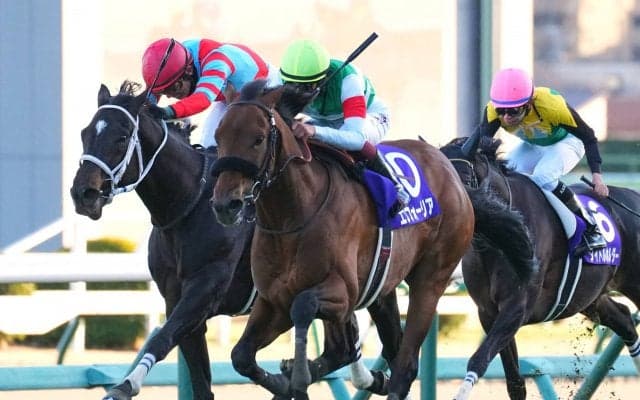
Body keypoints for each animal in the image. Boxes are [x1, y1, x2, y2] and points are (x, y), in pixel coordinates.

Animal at [70, 81, 256, 400]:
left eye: (122, 138)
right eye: (85, 133)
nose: (83, 194)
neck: (191, 204)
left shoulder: (206, 286)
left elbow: (162, 338)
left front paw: (125, 385)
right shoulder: (176, 297)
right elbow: (200, 381)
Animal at [209, 79, 475, 400]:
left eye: (258, 139)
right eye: (219, 136)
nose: (226, 205)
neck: (292, 216)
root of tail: (447, 165)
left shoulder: (342, 292)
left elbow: (304, 305)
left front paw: (297, 376)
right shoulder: (274, 300)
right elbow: (241, 356)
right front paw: (285, 381)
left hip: (431, 279)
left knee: (405, 362)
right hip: (381, 290)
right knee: (379, 350)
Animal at [440, 135, 640, 400]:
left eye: (459, 178)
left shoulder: (519, 306)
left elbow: (479, 359)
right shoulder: (488, 312)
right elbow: (514, 382)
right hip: (589, 297)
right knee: (625, 320)